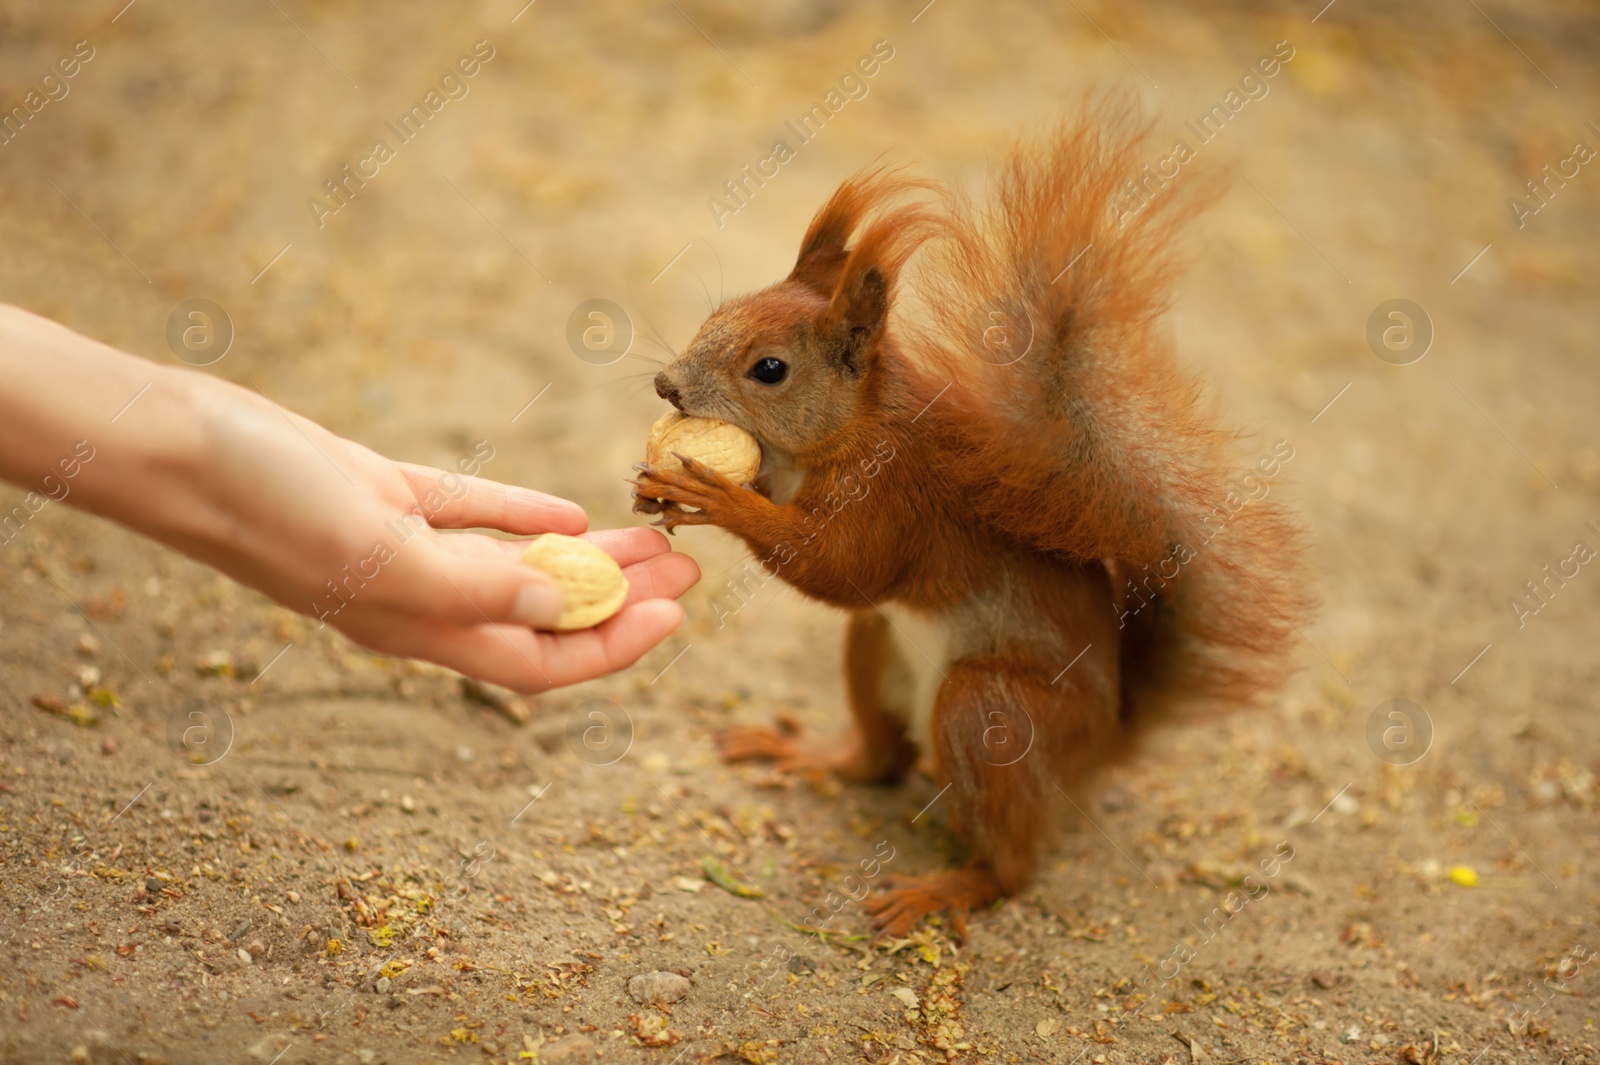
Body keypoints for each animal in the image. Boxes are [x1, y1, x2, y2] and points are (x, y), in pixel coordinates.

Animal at [630, 95, 1305, 933]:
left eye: (771, 369)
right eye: (720, 312)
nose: (666, 384)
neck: (856, 428)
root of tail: (1101, 744)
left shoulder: (896, 499)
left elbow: (841, 568)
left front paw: (720, 498)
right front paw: (662, 488)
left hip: (990, 712)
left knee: (1010, 866)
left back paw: (944, 887)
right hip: (877, 647)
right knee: (881, 761)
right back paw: (813, 754)